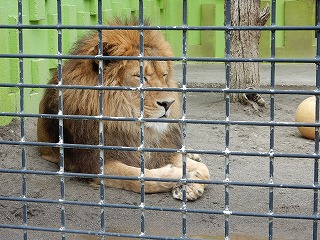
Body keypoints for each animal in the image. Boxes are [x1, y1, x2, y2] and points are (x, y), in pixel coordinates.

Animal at [37, 17, 210, 200]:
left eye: (164, 75)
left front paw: (191, 187)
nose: (169, 103)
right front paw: (178, 175)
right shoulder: (95, 163)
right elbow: (142, 178)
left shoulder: (161, 149)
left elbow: (204, 169)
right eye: (140, 77)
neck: (127, 124)